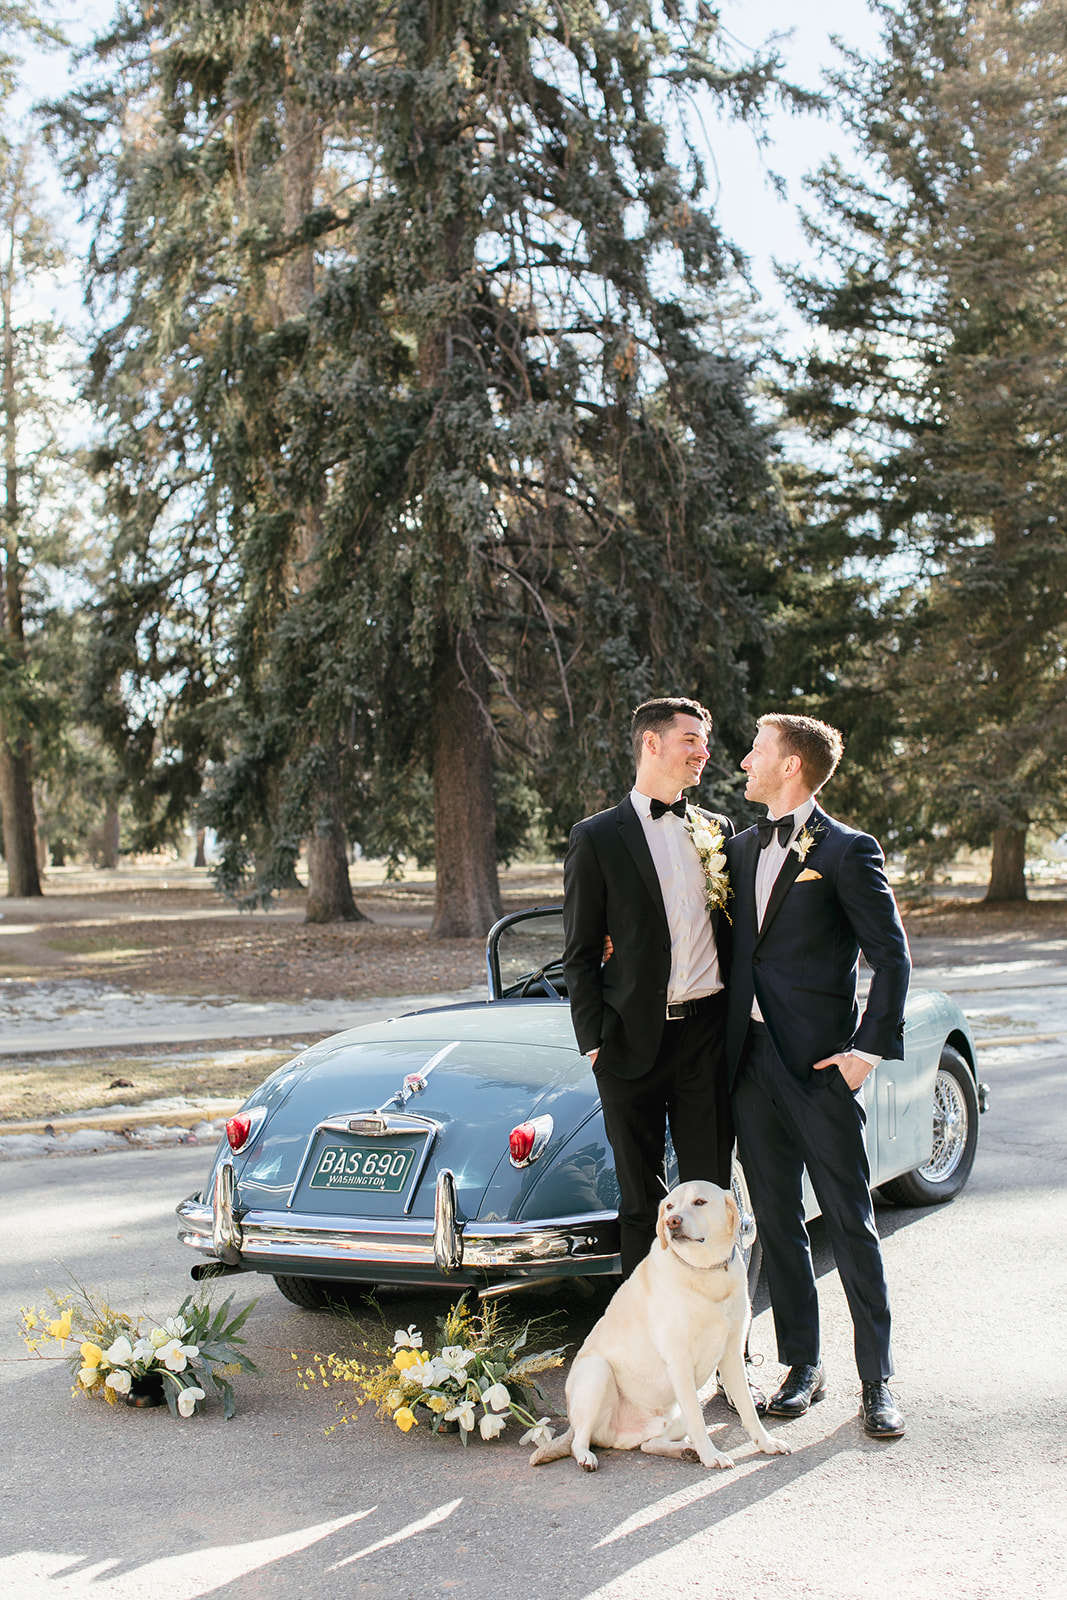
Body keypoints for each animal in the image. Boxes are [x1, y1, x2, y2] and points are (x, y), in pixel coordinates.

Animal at [530, 1180, 791, 1471]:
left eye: (700, 1202)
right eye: (669, 1206)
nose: (671, 1221)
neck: (705, 1270)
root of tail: (620, 1434)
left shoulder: (732, 1354)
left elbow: (747, 1408)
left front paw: (766, 1443)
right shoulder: (679, 1362)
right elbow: (700, 1422)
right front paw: (711, 1456)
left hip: (672, 1414)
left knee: (649, 1444)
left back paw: (685, 1450)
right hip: (597, 1371)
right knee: (579, 1441)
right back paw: (588, 1457)